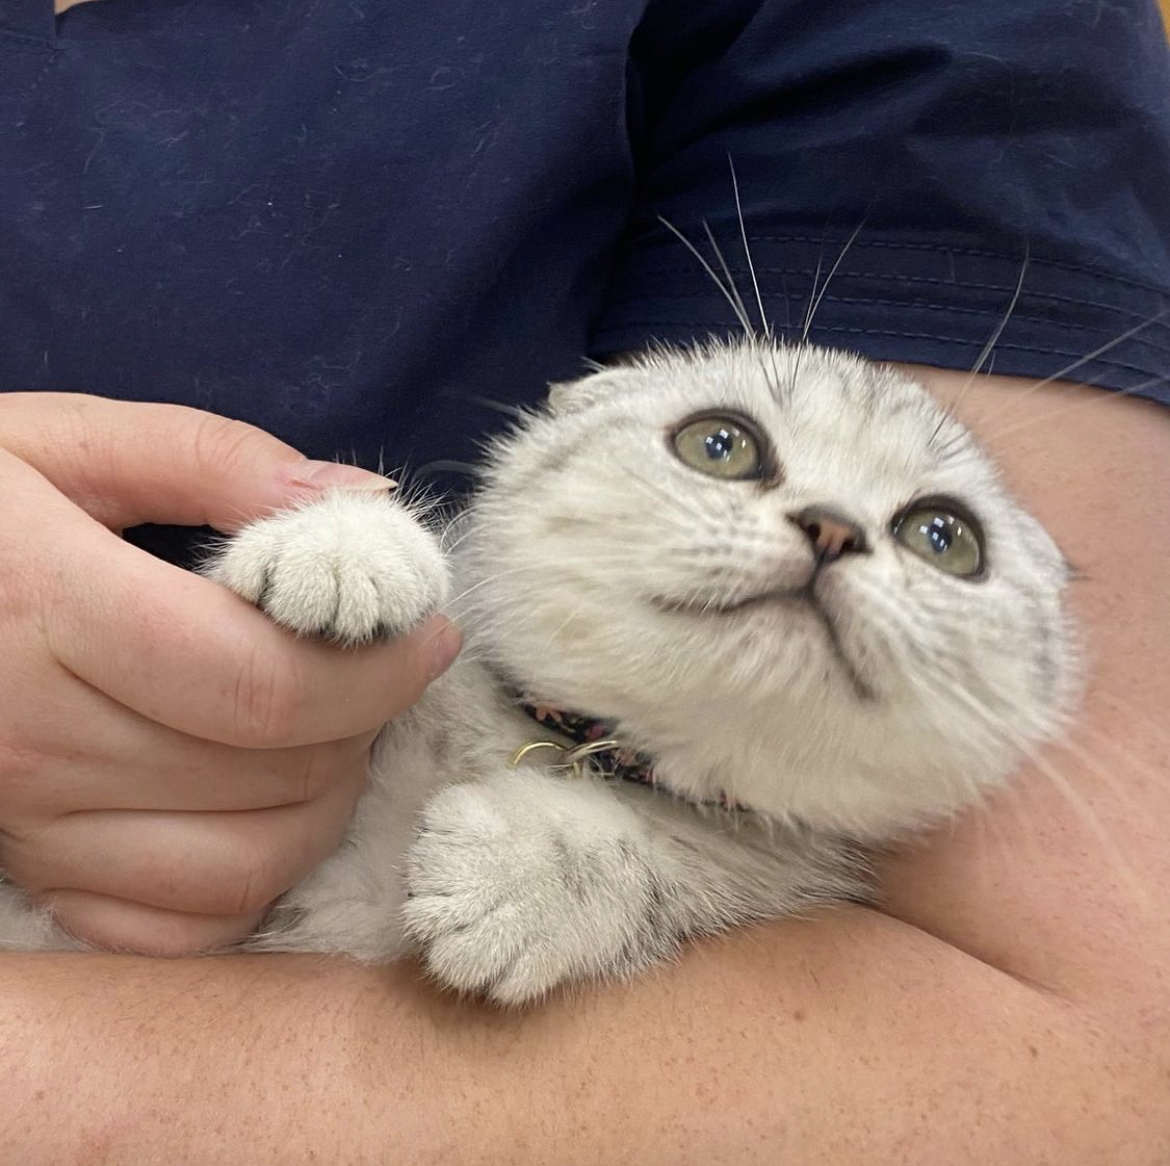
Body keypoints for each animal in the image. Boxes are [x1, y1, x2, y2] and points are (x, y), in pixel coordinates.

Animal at [0, 339, 1076, 1001]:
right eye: (720, 443)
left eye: (944, 537)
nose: (835, 527)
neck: (575, 741)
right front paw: (345, 542)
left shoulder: (759, 867)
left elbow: (661, 862)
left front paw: (517, 883)